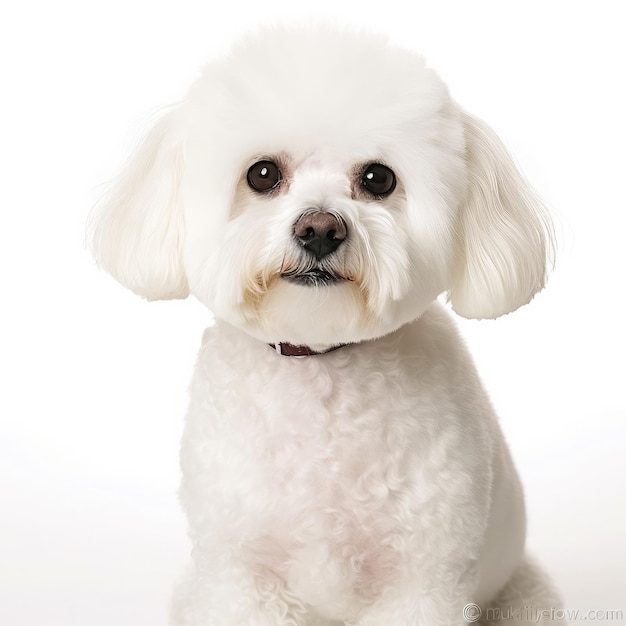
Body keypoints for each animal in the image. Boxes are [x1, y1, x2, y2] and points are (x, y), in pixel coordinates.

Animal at [90, 26, 564, 620]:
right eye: (263, 174)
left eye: (378, 178)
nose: (319, 228)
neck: (319, 363)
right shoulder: (239, 575)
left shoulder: (422, 582)